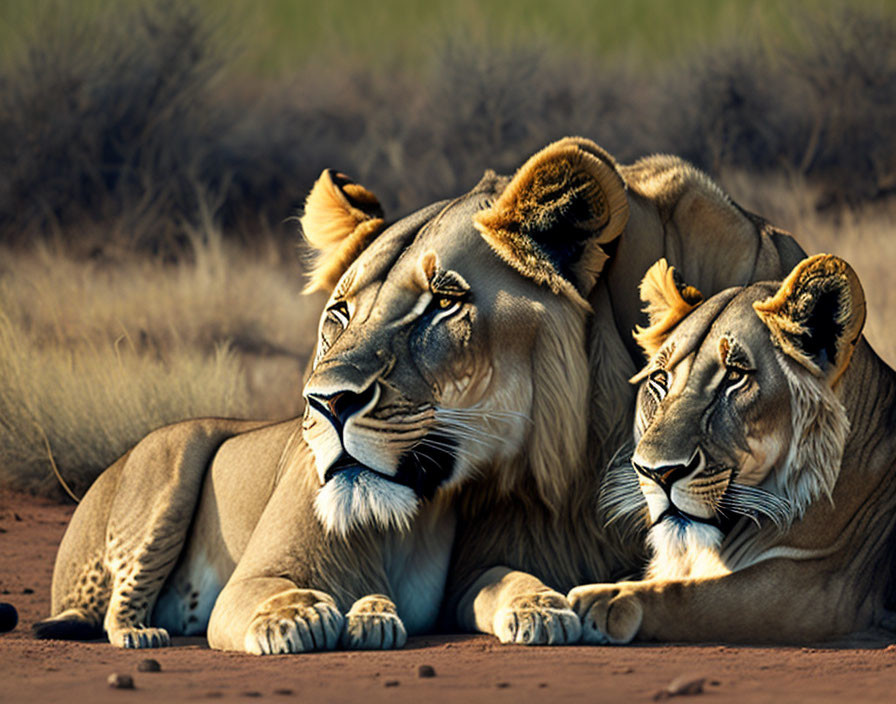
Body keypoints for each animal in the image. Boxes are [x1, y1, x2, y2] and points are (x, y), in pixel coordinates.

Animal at [33, 138, 804, 656]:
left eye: (442, 303)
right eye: (338, 314)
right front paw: (538, 608)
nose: (325, 404)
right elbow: (500, 580)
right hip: (168, 472)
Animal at [568, 254, 896, 644]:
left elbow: (696, 596)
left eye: (735, 377)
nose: (657, 473)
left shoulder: (824, 590)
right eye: (660, 380)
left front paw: (607, 598)